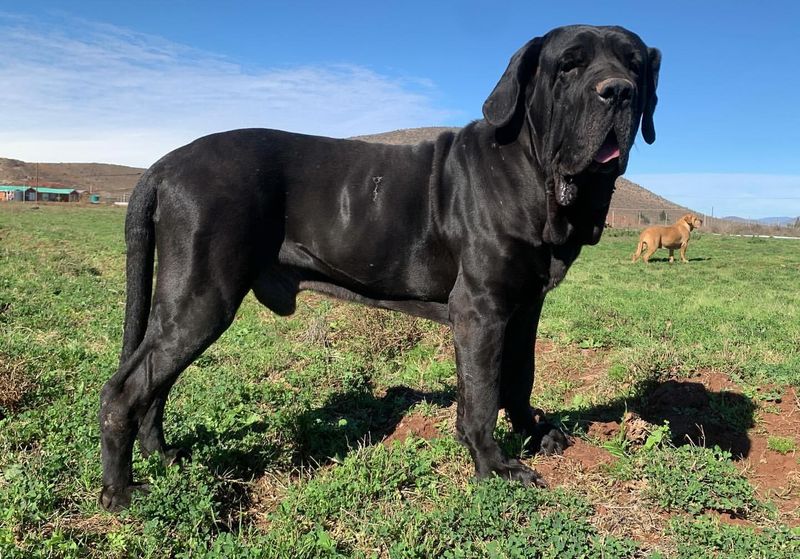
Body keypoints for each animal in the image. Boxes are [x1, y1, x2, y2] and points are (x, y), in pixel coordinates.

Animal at [100, 24, 660, 510]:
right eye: (569, 65)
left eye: (636, 64)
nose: (619, 92)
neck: (531, 169)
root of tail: (163, 164)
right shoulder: (481, 310)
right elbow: (481, 395)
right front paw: (494, 465)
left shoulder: (525, 307)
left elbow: (520, 376)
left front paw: (535, 431)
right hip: (201, 298)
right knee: (125, 390)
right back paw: (120, 493)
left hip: (182, 302)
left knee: (154, 384)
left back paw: (162, 455)